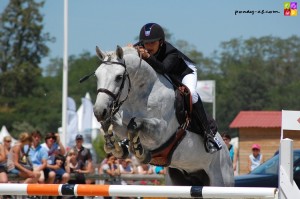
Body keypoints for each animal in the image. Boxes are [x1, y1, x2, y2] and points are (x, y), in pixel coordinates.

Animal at [92, 45, 234, 187]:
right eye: (97, 75)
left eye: (119, 77)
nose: (99, 111)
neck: (139, 96)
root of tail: (226, 155)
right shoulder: (122, 125)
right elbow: (114, 125)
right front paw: (114, 145)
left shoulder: (160, 132)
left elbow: (135, 124)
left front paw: (139, 150)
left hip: (220, 179)